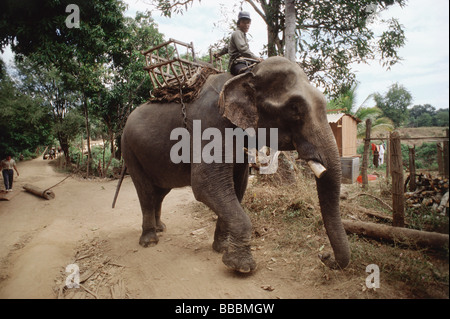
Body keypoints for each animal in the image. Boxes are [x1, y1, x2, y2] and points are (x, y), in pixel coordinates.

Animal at [118, 56, 350, 274]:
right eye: (295, 108)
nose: (324, 256)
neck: (247, 74)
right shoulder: (209, 123)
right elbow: (206, 185)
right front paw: (241, 267)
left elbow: (238, 185)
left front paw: (221, 248)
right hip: (129, 149)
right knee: (146, 192)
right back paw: (150, 241)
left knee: (159, 192)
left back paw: (161, 228)